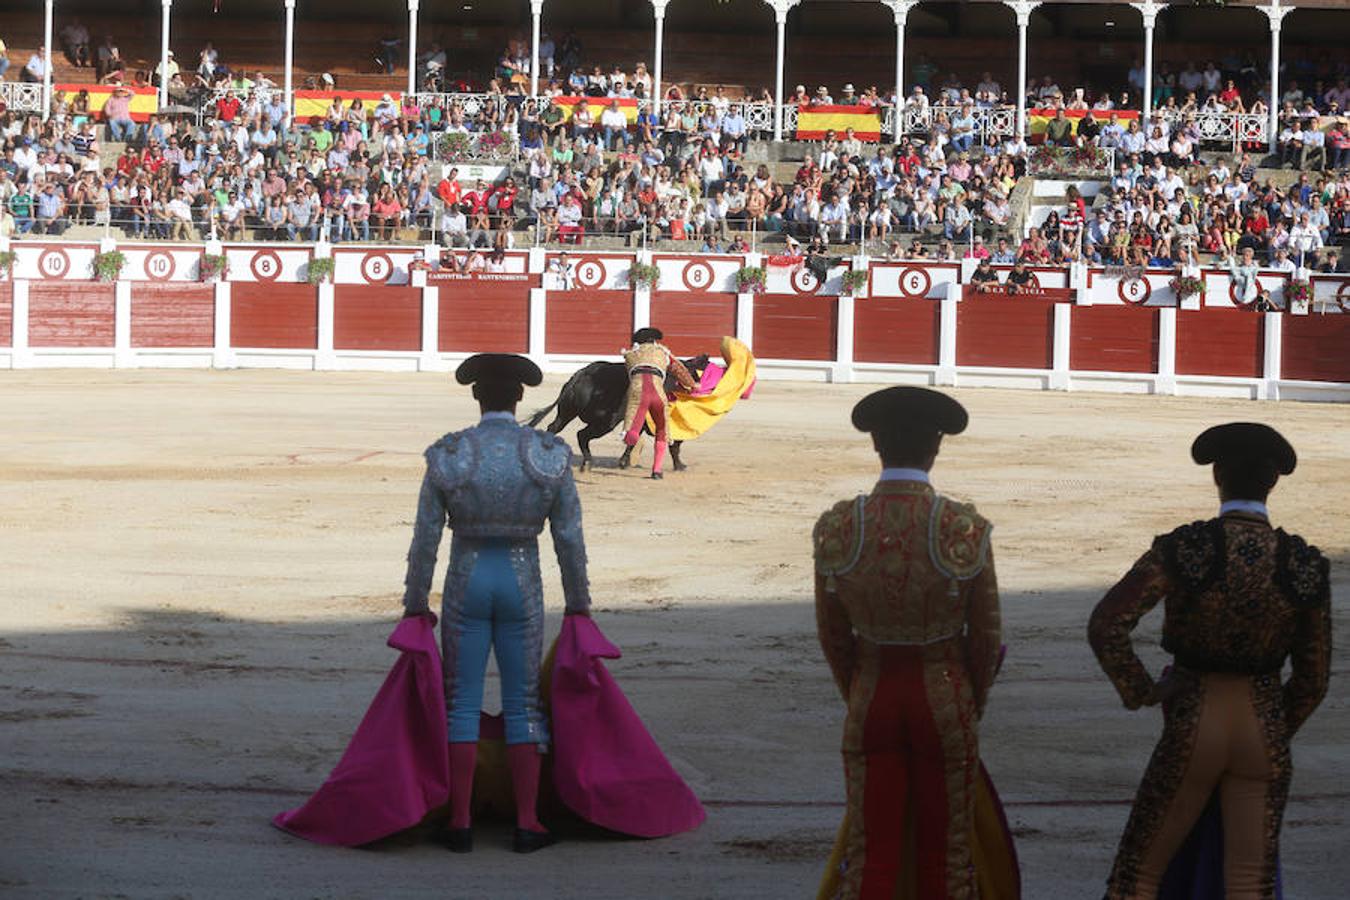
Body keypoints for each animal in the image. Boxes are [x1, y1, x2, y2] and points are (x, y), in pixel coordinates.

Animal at [521, 356, 712, 474]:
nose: (699, 387)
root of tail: (581, 375)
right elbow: (673, 444)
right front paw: (680, 465)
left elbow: (634, 440)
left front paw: (624, 462)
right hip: (607, 421)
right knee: (582, 434)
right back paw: (586, 462)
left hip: (567, 412)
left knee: (554, 427)